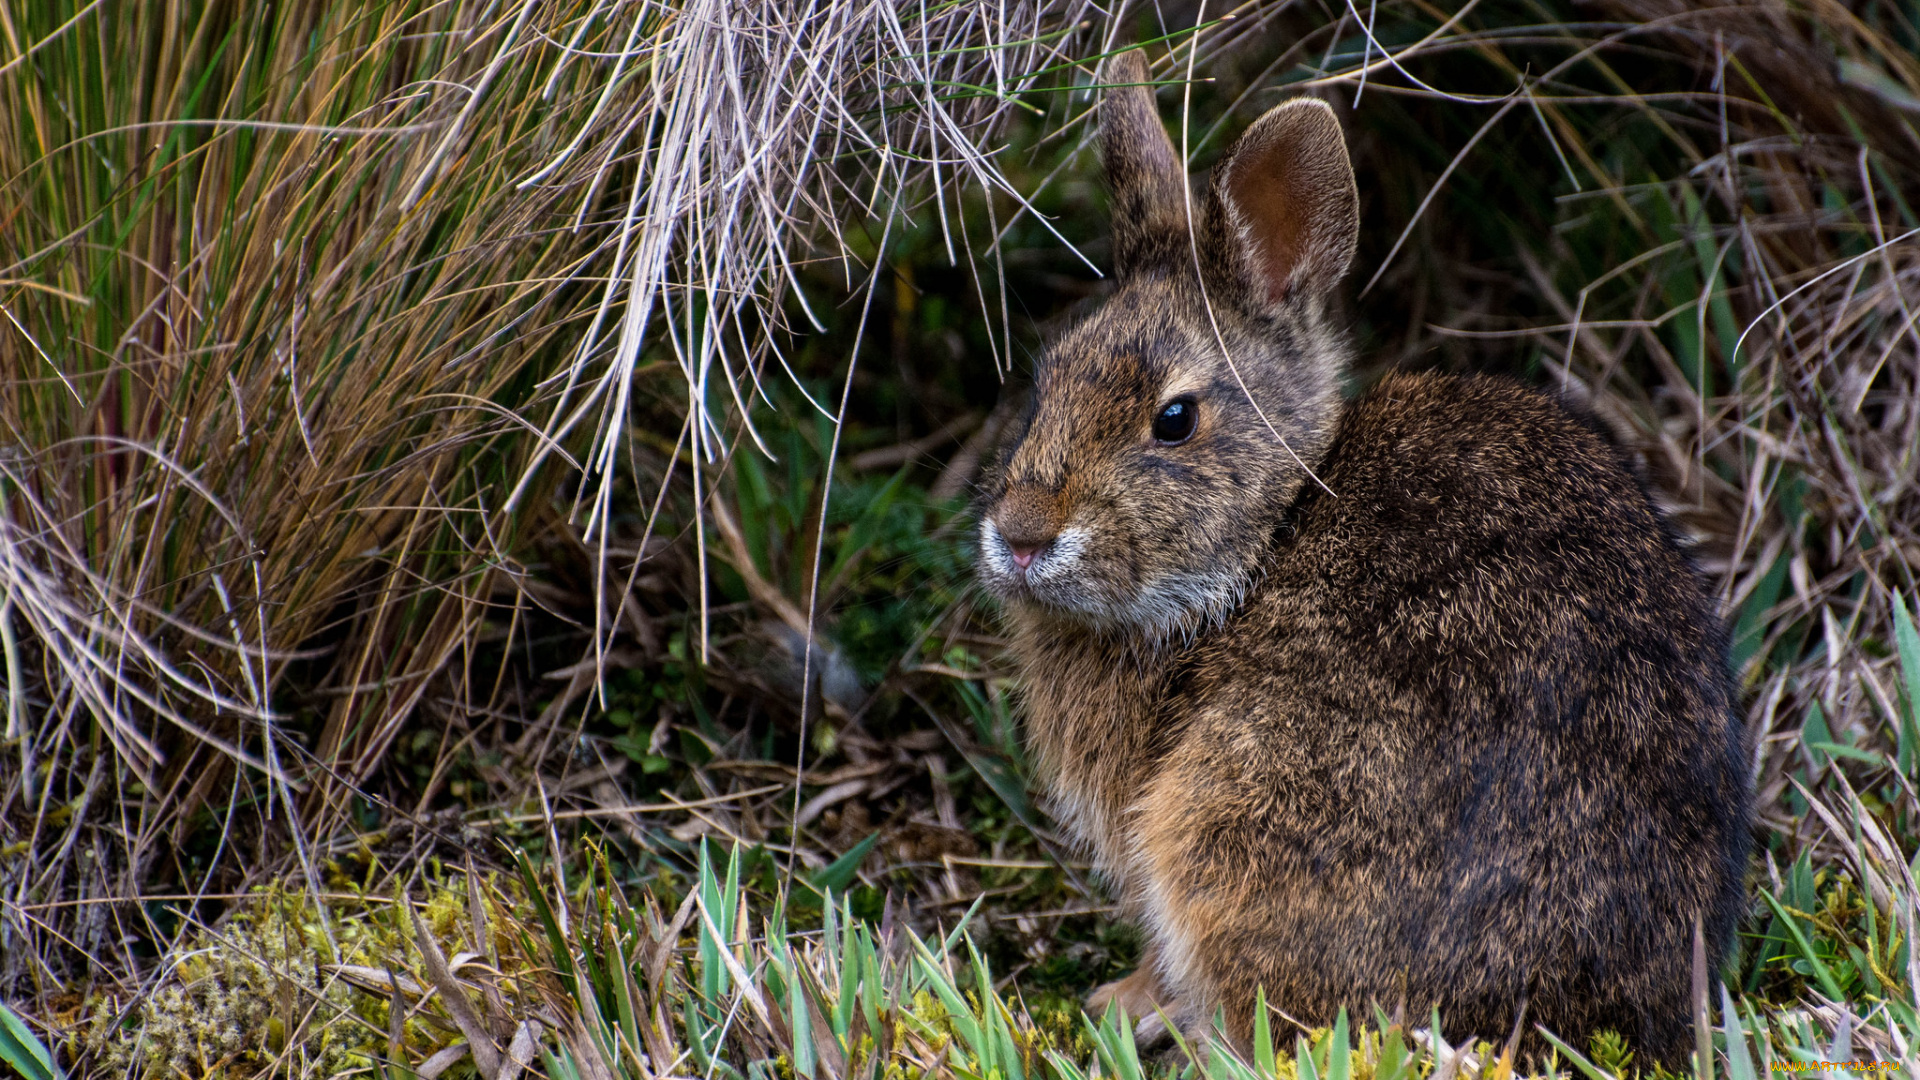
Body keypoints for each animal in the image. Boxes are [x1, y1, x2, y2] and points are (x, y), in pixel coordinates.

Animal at [983, 48, 1751, 1060]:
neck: (1273, 530)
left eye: (1175, 419)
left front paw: (1125, 999)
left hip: (1229, 819)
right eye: (1045, 383)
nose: (1022, 535)